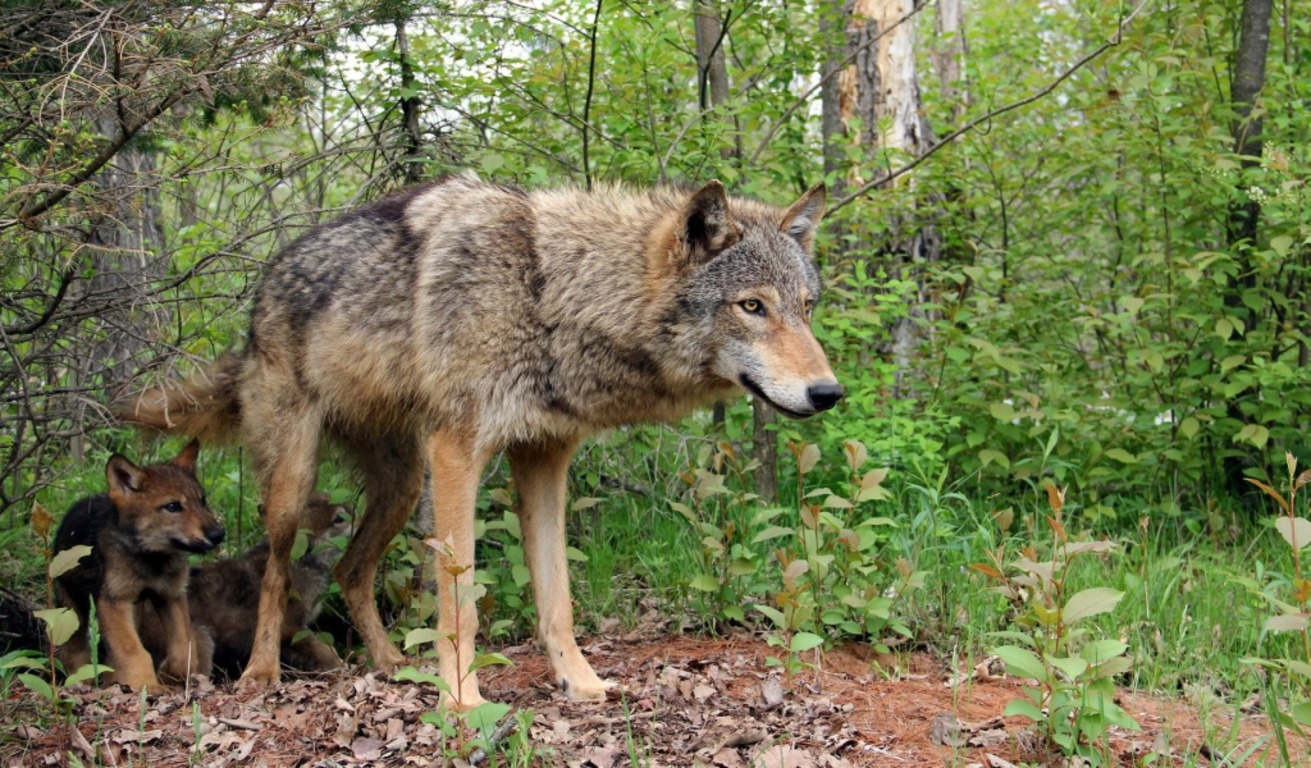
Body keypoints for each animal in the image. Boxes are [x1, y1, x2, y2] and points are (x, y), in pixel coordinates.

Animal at [51, 440, 224, 691]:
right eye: (173, 506)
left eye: (202, 501)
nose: (219, 534)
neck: (151, 562)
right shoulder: (114, 602)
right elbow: (134, 651)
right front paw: (147, 686)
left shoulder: (170, 595)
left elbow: (184, 646)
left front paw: (168, 675)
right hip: (73, 610)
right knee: (74, 652)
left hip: (136, 608)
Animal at [120, 172, 839, 707]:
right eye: (752, 306)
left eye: (806, 308)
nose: (829, 393)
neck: (549, 292)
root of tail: (260, 294)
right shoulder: (458, 453)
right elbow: (458, 604)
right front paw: (461, 702)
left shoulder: (544, 458)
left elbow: (557, 599)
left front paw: (579, 682)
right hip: (298, 485)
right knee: (272, 572)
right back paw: (262, 674)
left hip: (402, 486)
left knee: (352, 571)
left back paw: (389, 664)